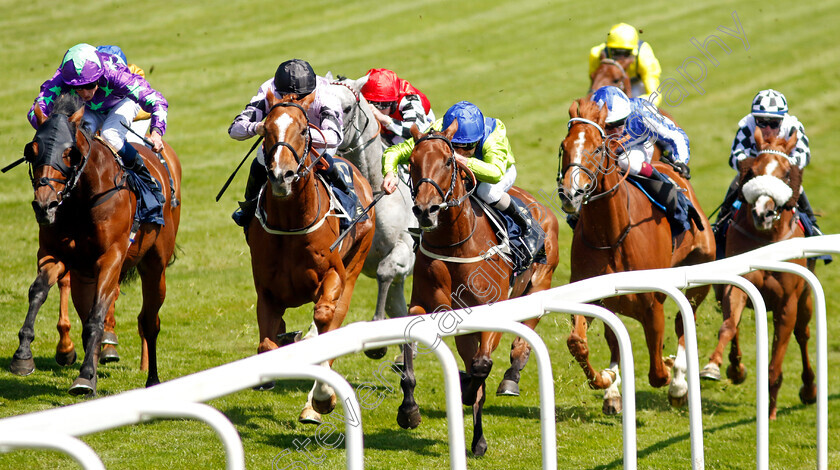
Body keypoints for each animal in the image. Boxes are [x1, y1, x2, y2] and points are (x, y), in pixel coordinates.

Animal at [10, 93, 182, 394]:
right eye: (33, 150)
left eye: (70, 153)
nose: (44, 205)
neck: (81, 199)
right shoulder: (55, 254)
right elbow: (38, 291)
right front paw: (23, 355)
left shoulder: (111, 257)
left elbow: (97, 315)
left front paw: (85, 376)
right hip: (84, 275)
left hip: (155, 265)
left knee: (149, 320)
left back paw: (152, 379)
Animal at [244, 90, 372, 424]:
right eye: (266, 129)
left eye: (303, 130)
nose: (281, 176)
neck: (291, 224)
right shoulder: (266, 292)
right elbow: (266, 342)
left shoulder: (334, 274)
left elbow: (325, 316)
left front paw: (323, 397)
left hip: (356, 263)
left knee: (334, 318)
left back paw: (316, 402)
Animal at [398, 122, 560, 456]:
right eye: (413, 162)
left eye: (449, 161)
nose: (425, 209)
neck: (454, 244)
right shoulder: (422, 305)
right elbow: (409, 355)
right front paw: (409, 411)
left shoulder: (491, 313)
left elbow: (481, 368)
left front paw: (468, 388)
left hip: (539, 284)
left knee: (518, 341)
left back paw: (507, 384)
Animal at [556, 98, 716, 412]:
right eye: (565, 145)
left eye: (597, 148)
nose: (570, 194)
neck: (611, 236)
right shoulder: (591, 295)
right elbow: (577, 342)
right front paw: (607, 381)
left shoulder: (652, 305)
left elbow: (657, 372)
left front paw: (673, 375)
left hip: (701, 271)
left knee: (684, 320)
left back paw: (679, 382)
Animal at [700, 127, 816, 418]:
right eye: (752, 171)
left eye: (786, 174)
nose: (763, 212)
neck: (766, 239)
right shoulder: (737, 285)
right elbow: (729, 326)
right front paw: (716, 366)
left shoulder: (788, 303)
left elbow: (776, 361)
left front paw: (771, 410)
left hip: (806, 300)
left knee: (803, 334)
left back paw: (810, 389)